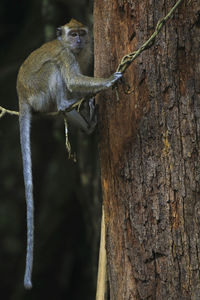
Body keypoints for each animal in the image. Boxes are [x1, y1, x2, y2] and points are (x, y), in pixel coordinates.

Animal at [16, 18, 122, 288]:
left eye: (81, 33)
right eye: (73, 34)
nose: (79, 40)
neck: (70, 48)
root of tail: (22, 95)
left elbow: (76, 85)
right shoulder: (66, 56)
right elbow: (72, 79)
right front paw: (108, 80)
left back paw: (86, 123)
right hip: (39, 91)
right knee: (55, 72)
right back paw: (66, 105)